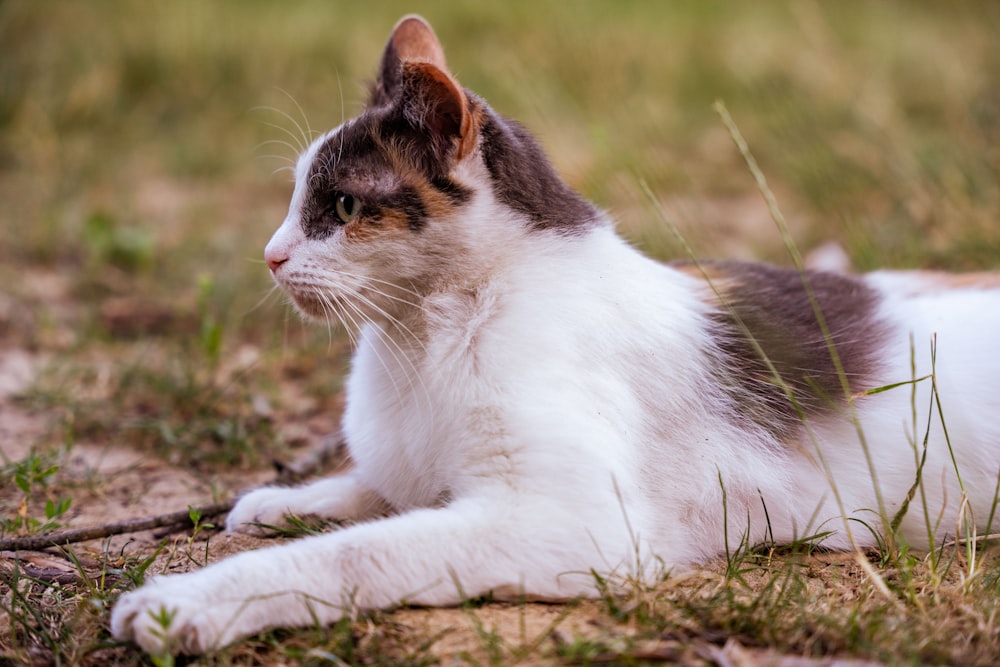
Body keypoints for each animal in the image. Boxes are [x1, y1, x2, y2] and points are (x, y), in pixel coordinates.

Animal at [109, 13, 1000, 656]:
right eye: (300, 200)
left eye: (342, 207)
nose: (271, 255)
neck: (422, 336)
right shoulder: (430, 470)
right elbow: (378, 491)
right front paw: (283, 500)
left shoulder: (571, 521)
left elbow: (363, 549)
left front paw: (185, 603)